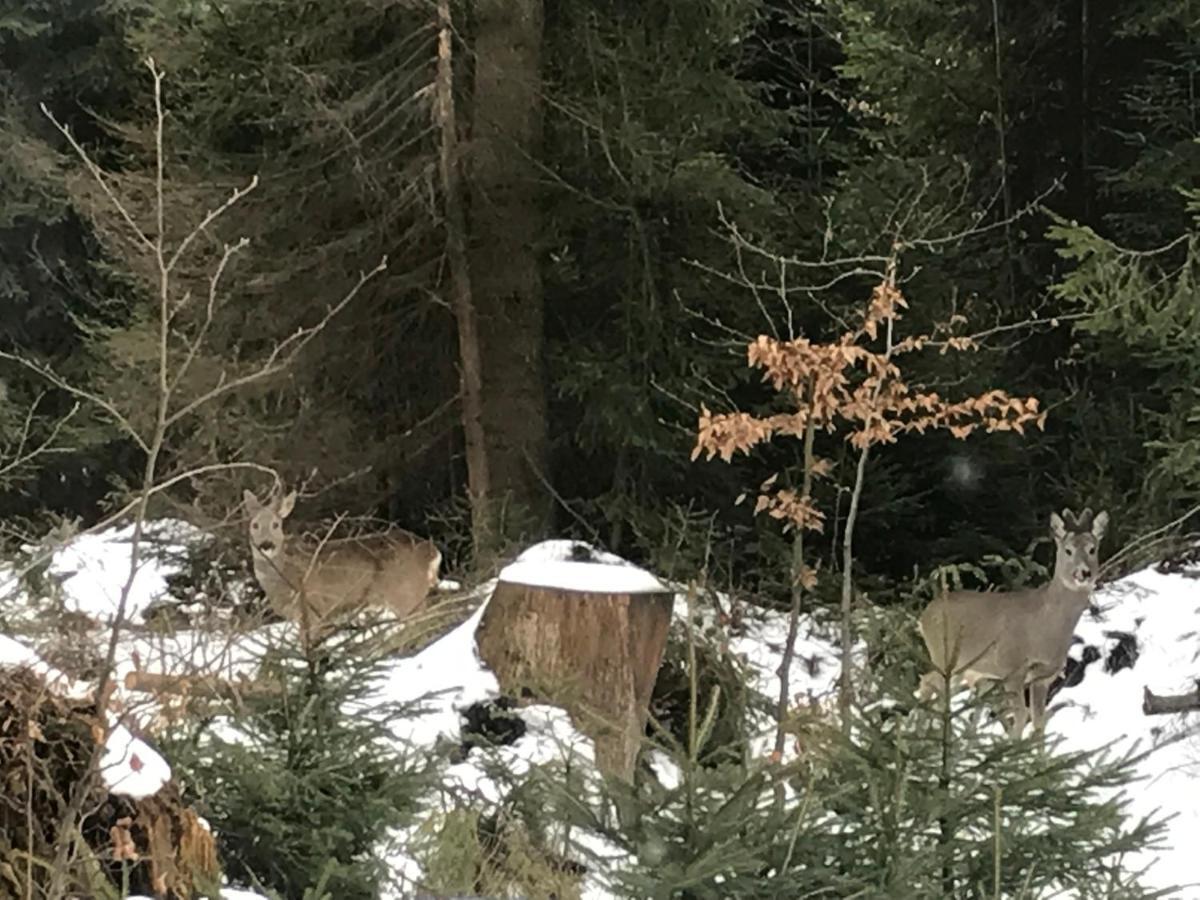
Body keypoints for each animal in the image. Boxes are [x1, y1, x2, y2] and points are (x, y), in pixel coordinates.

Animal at [243, 489, 446, 638]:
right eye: (254, 525)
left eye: (276, 524)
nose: (266, 545)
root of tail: (432, 552)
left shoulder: (315, 610)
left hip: (406, 594)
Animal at [916, 508, 1104, 739]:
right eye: (1068, 550)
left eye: (1092, 549)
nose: (1083, 572)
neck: (1045, 626)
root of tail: (924, 614)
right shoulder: (1011, 667)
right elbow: (1021, 716)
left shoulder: (1043, 676)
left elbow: (1039, 722)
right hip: (944, 657)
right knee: (930, 684)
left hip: (963, 669)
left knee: (933, 688)